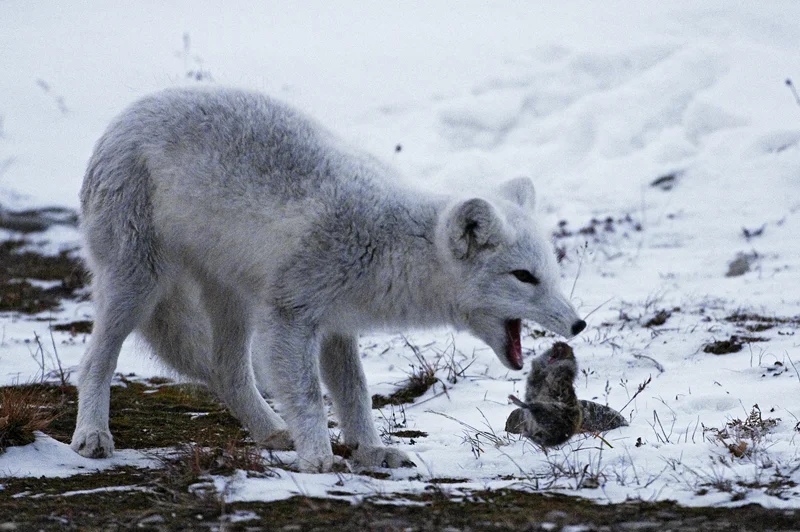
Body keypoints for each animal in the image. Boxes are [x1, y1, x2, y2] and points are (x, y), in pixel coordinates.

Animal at [72, 88, 584, 474]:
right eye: (524, 277)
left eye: (551, 274)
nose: (578, 325)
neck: (388, 244)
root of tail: (128, 113)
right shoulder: (290, 317)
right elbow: (308, 396)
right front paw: (319, 458)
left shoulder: (337, 327)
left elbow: (355, 395)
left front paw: (371, 452)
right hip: (137, 285)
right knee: (96, 358)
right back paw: (92, 436)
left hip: (233, 300)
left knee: (227, 371)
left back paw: (271, 432)